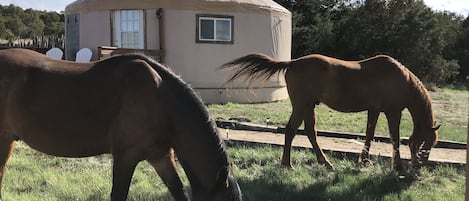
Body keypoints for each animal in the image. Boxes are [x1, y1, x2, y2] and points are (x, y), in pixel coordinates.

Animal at [219, 53, 438, 171]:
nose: (420, 165)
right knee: (291, 130)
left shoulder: (374, 110)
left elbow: (370, 134)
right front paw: (398, 166)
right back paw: (288, 164)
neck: (402, 80)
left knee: (309, 132)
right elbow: (395, 138)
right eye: (427, 143)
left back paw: (324, 162)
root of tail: (292, 62)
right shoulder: (393, 112)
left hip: (309, 106)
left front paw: (364, 160)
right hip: (301, 105)